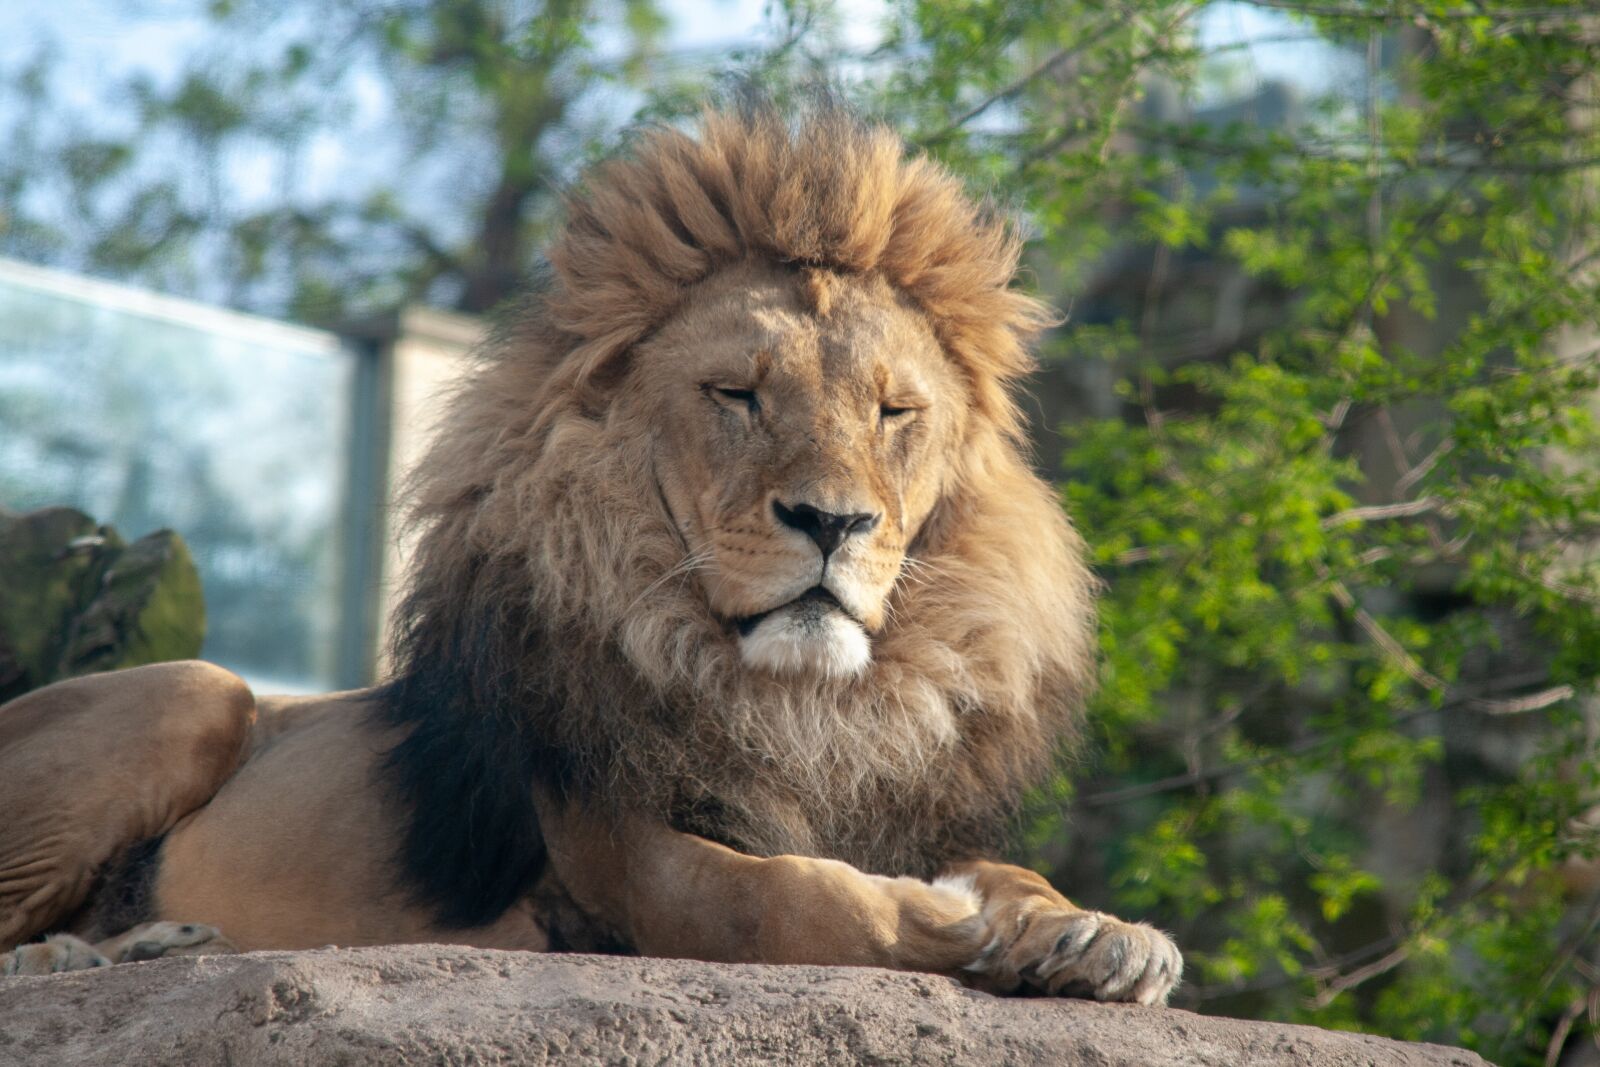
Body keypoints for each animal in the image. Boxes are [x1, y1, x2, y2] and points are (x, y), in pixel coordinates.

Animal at [0, 100, 1181, 1004]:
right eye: (737, 394)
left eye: (895, 411)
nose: (834, 521)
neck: (801, 703)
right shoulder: (620, 854)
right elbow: (790, 898)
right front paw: (952, 924)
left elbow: (1003, 869)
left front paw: (1096, 933)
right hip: (197, 689)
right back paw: (97, 952)